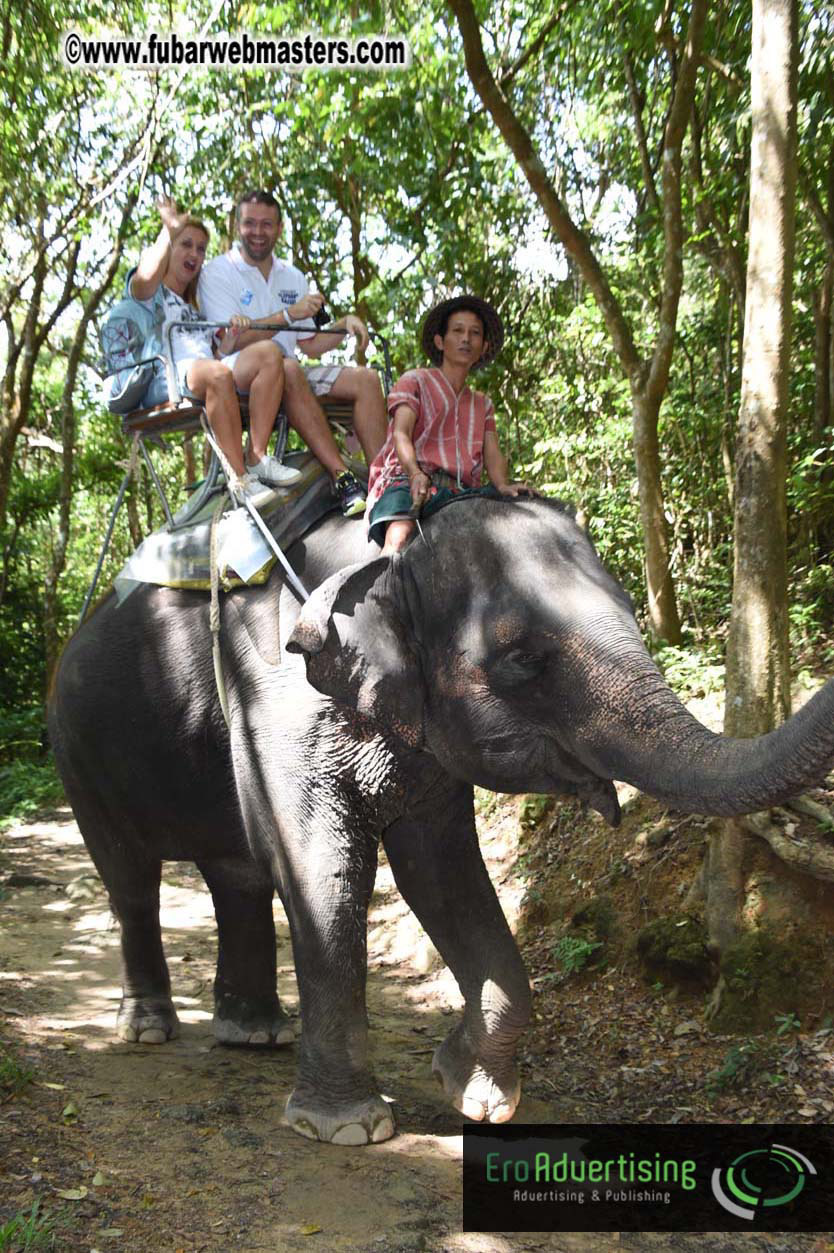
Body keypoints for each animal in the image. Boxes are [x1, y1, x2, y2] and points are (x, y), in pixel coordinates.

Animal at [48, 494, 834, 1146]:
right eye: (522, 659)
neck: (386, 559)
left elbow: (443, 872)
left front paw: (472, 1092)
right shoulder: (276, 699)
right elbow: (323, 869)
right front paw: (347, 1127)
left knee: (236, 874)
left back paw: (254, 1034)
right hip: (76, 751)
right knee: (130, 877)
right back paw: (148, 1029)